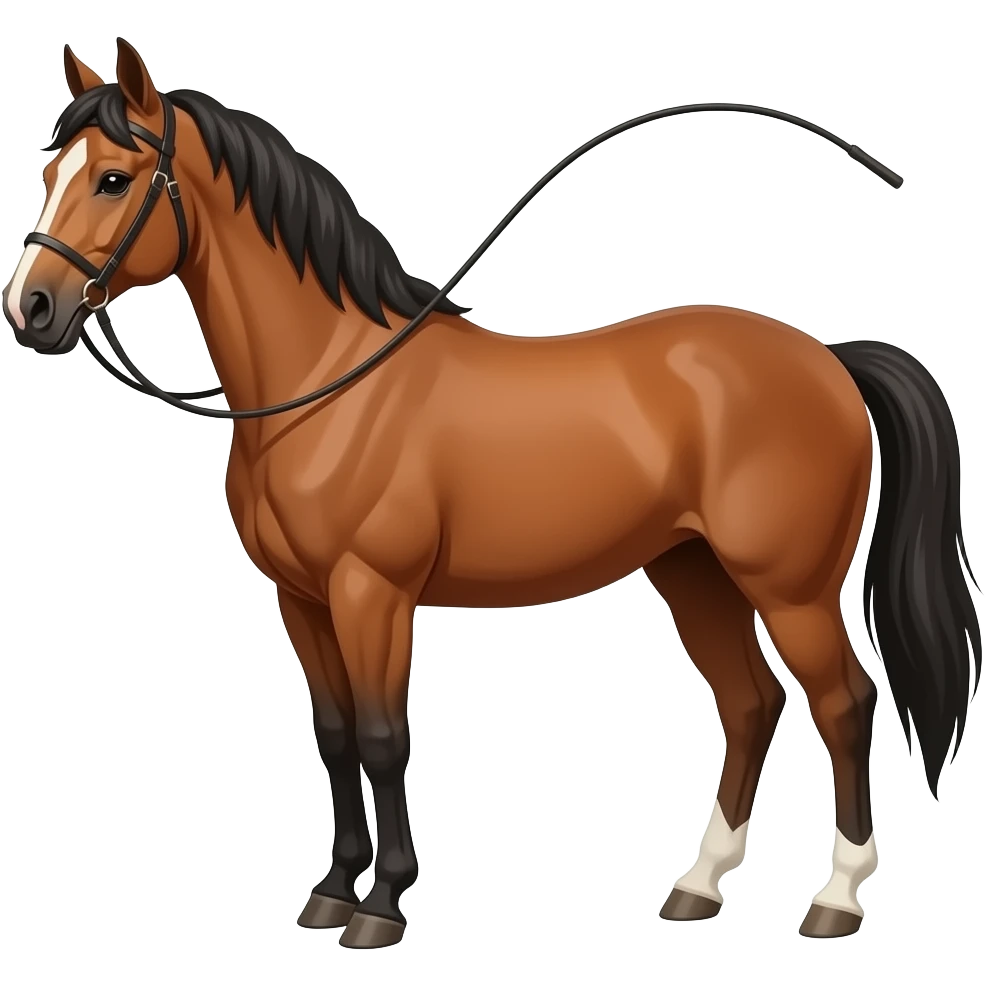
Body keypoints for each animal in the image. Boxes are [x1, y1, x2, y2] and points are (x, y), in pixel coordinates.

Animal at [3, 39, 981, 948]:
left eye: (114, 179)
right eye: (51, 172)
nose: (32, 309)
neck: (332, 379)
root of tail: (829, 358)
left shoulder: (372, 594)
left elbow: (381, 739)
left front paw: (382, 907)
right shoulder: (302, 599)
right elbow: (333, 739)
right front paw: (332, 892)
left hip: (789, 589)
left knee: (843, 704)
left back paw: (836, 899)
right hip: (692, 571)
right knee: (750, 704)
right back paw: (698, 886)